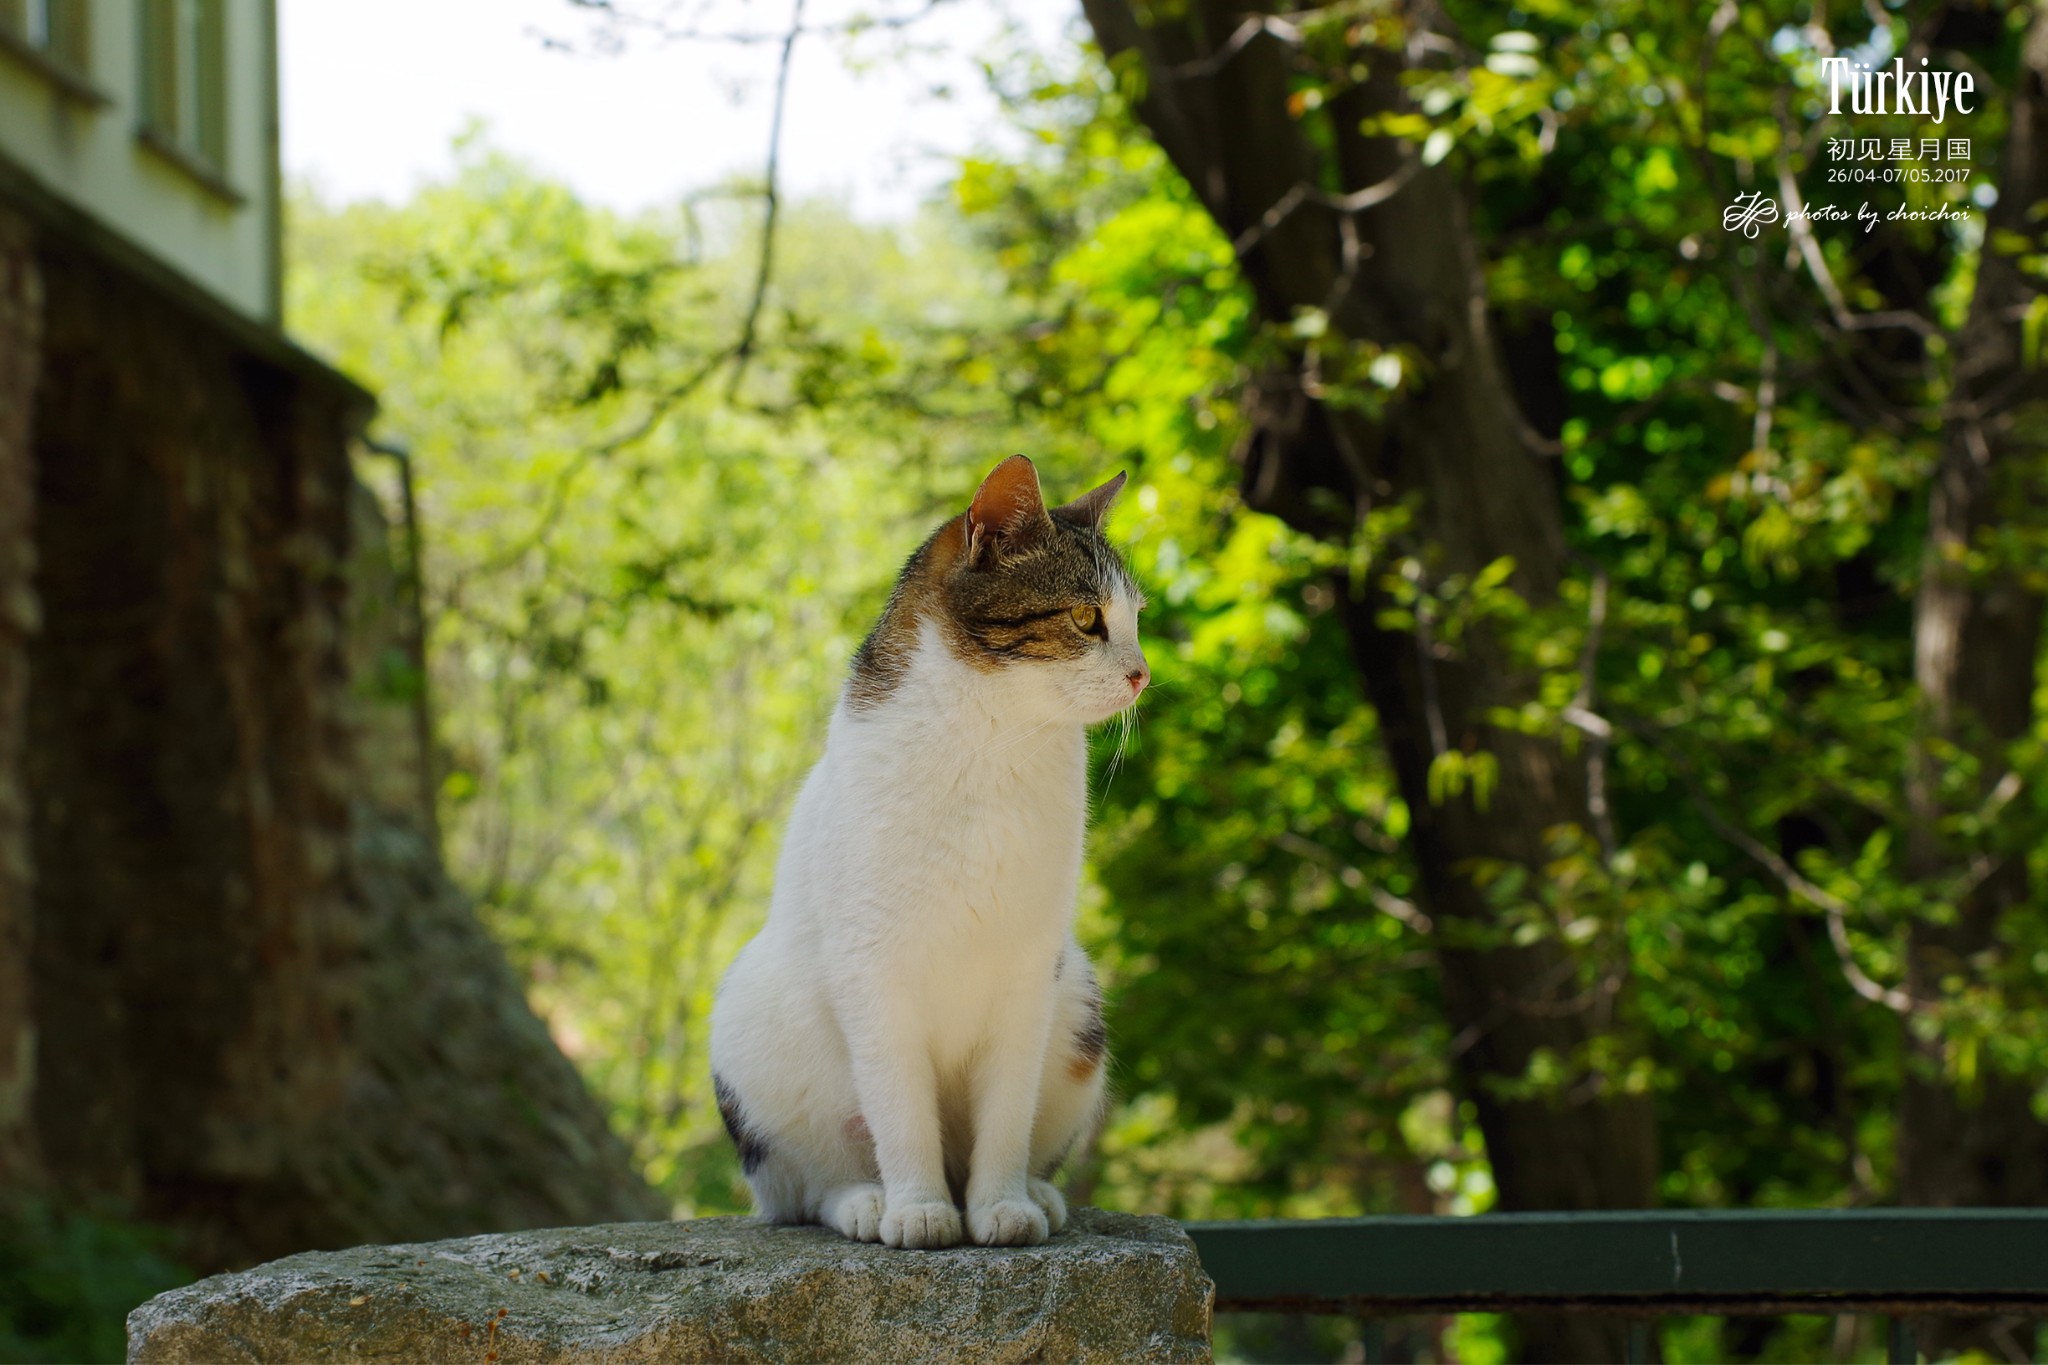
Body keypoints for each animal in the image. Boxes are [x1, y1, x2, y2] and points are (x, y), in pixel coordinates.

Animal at [712, 456, 1146, 1252]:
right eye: (1085, 618)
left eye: (1136, 621)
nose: (1142, 674)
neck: (994, 741)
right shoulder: (870, 968)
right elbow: (900, 1112)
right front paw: (919, 1209)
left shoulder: (1030, 969)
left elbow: (1006, 1113)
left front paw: (1002, 1204)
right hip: (755, 1026)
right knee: (806, 1184)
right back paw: (866, 1201)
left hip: (1079, 1009)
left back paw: (1038, 1193)